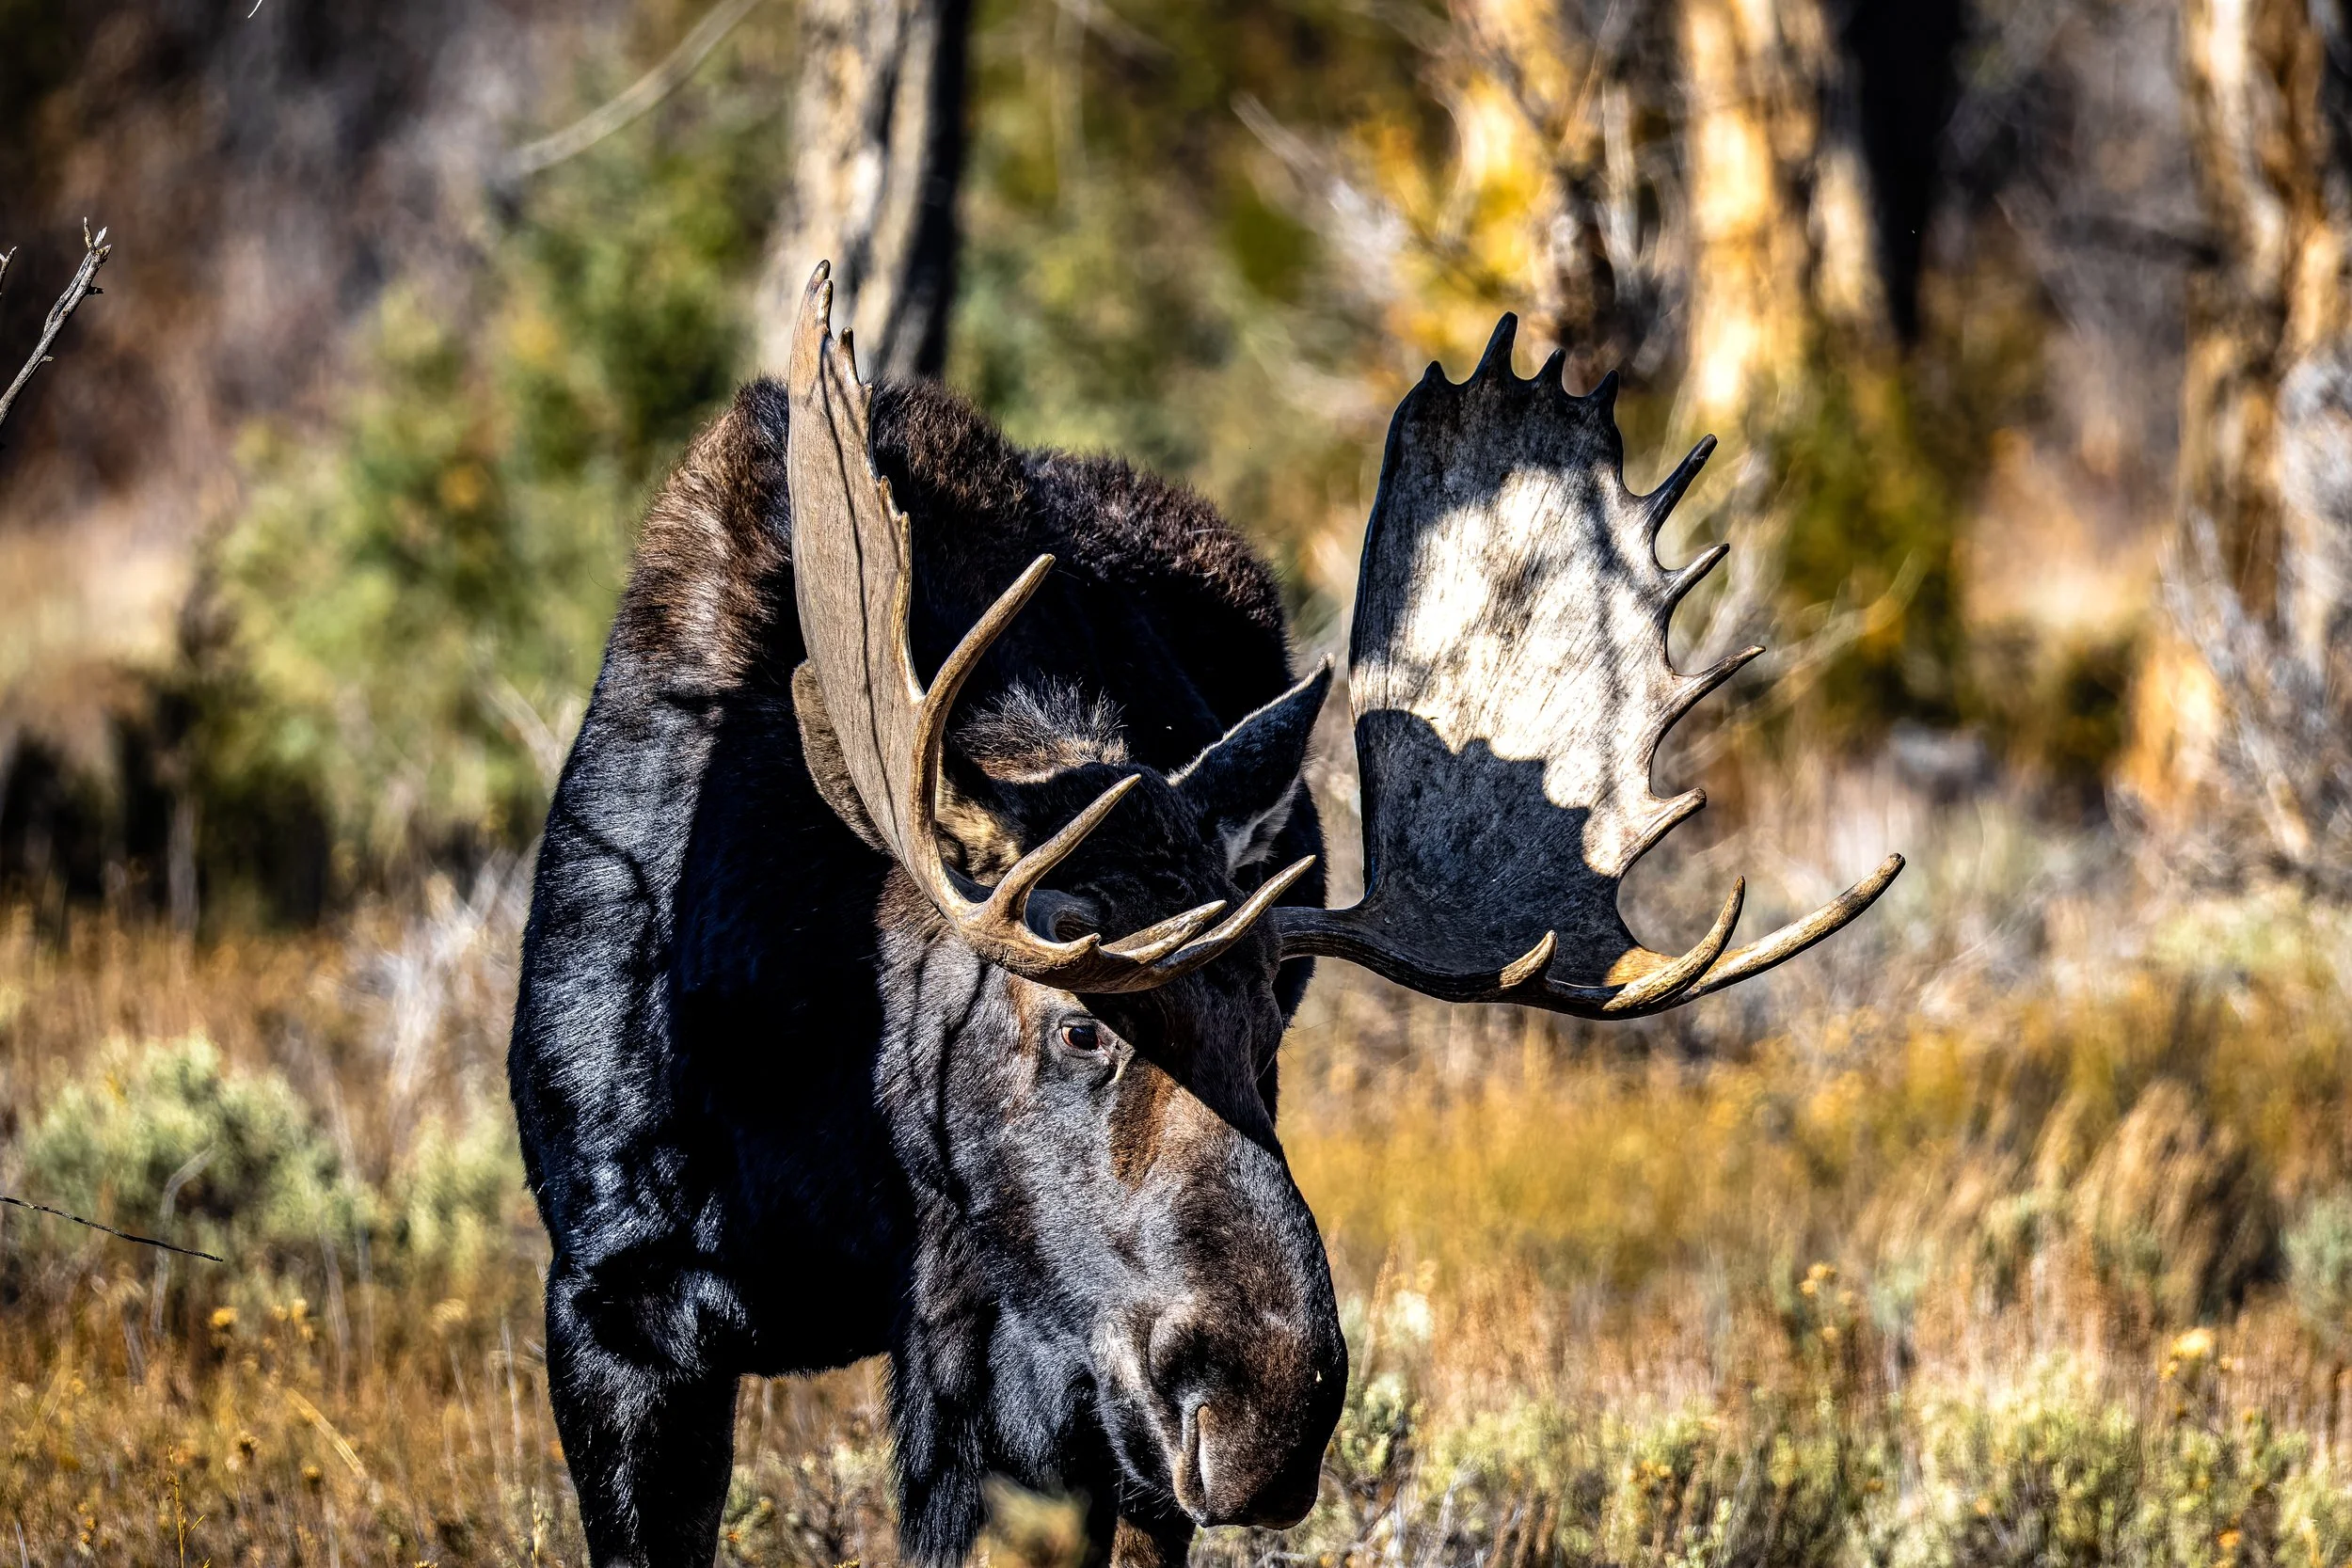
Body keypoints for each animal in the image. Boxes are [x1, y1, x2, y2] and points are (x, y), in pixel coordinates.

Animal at [508, 265, 1903, 1568]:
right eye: (1078, 1024)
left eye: (1269, 1032)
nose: (1272, 1411)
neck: (818, 1112)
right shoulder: (614, 1305)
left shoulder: (1009, 1368)